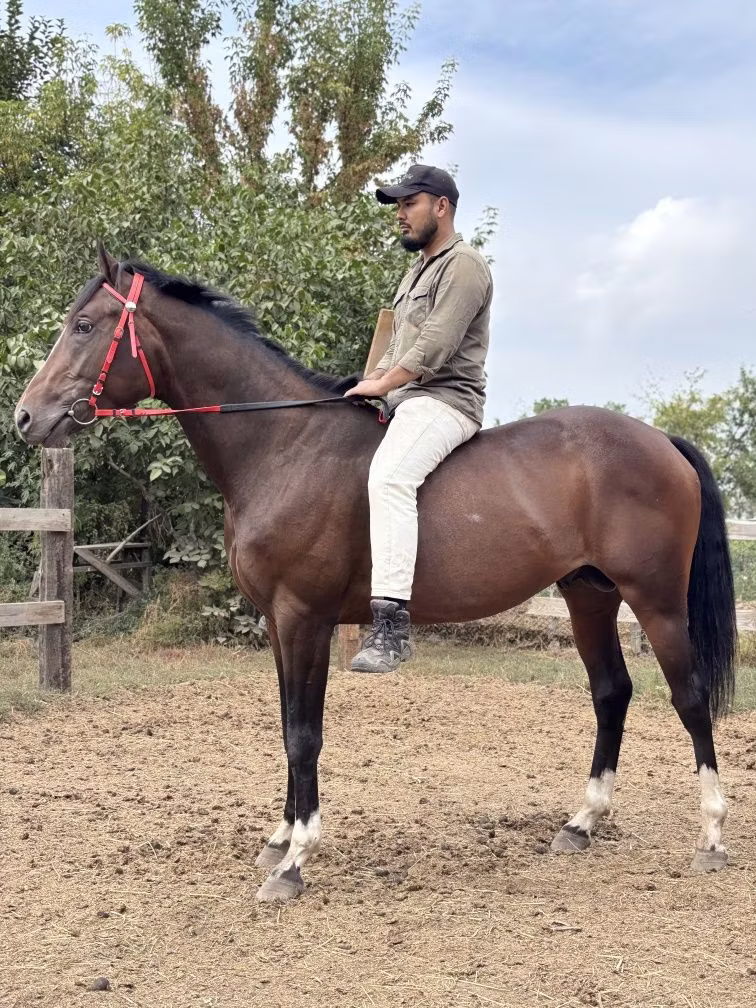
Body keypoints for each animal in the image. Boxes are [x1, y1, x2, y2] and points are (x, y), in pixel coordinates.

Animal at [15, 245, 737, 902]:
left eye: (85, 326)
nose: (26, 416)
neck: (285, 448)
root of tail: (660, 440)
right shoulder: (278, 623)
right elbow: (288, 722)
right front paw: (280, 837)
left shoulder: (304, 617)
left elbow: (304, 733)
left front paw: (294, 861)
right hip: (588, 595)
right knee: (611, 692)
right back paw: (582, 823)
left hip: (656, 601)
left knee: (690, 698)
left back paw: (711, 836)